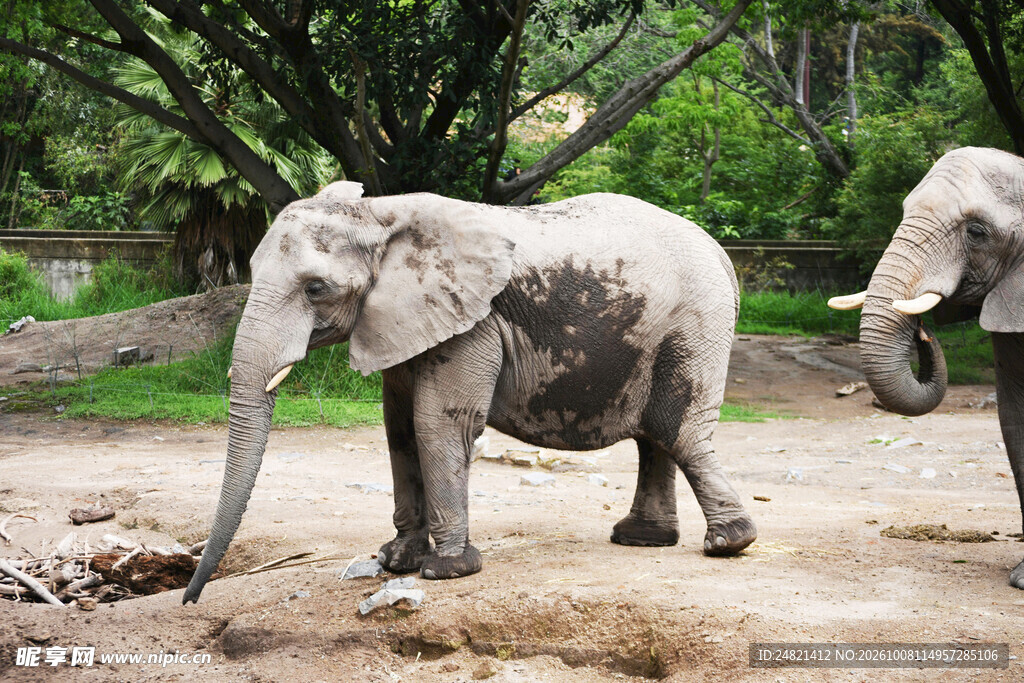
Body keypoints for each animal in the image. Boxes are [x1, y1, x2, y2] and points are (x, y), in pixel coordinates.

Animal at [182, 182, 757, 604]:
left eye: (315, 288)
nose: (190, 598)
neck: (378, 215)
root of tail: (721, 254)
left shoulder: (473, 321)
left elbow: (438, 422)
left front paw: (446, 570)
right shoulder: (402, 318)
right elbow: (398, 427)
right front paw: (394, 560)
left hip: (694, 323)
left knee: (678, 429)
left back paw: (728, 543)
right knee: (655, 436)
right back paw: (642, 538)